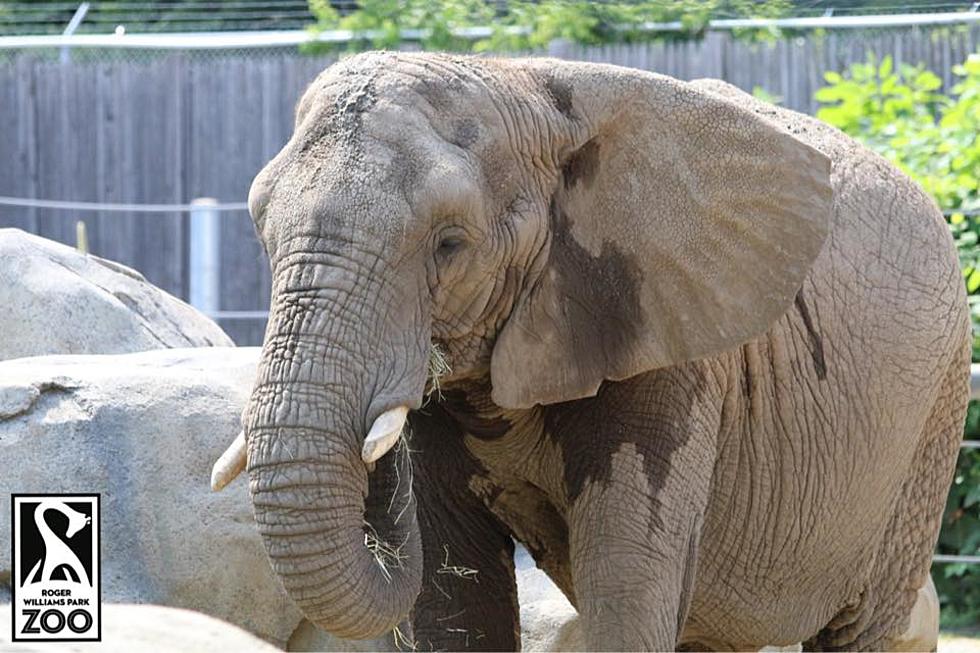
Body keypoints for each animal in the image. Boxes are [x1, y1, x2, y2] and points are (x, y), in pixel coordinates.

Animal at [211, 52, 968, 652]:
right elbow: (455, 587)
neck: (524, 83)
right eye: (260, 228)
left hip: (930, 428)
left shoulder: (671, 343)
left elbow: (626, 579)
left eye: (450, 244)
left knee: (863, 626)